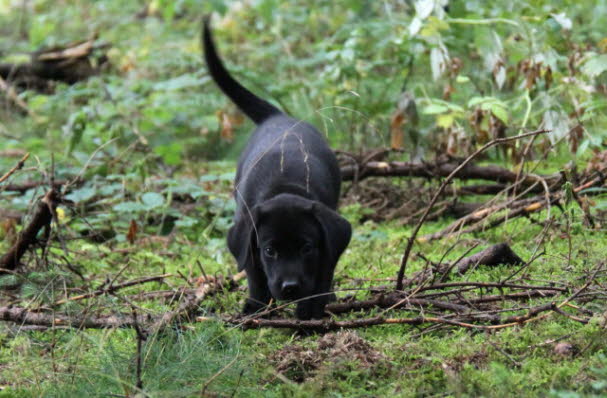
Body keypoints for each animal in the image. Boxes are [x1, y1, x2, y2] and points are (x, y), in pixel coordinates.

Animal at [202, 20, 352, 322]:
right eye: (270, 250)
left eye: (306, 248)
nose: (290, 287)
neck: (284, 186)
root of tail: (278, 116)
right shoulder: (248, 237)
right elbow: (254, 275)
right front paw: (256, 307)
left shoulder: (327, 243)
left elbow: (323, 274)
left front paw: (310, 310)